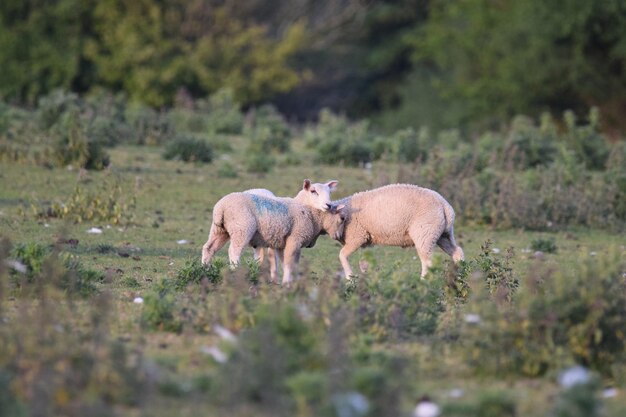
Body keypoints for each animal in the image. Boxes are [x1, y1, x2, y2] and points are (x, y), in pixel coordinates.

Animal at [201, 191, 346, 282]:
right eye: (342, 218)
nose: (339, 237)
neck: (313, 216)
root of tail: (221, 208)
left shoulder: (282, 244)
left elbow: (285, 263)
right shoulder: (295, 239)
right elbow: (289, 263)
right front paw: (288, 283)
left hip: (219, 230)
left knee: (209, 248)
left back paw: (205, 270)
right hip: (242, 228)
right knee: (234, 251)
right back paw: (234, 271)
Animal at [332, 184, 464, 278]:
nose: (335, 236)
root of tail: (445, 206)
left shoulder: (357, 237)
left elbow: (342, 255)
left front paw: (350, 278)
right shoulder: (366, 242)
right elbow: (364, 263)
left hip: (425, 234)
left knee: (428, 262)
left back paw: (424, 282)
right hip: (442, 235)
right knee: (457, 252)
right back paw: (460, 276)